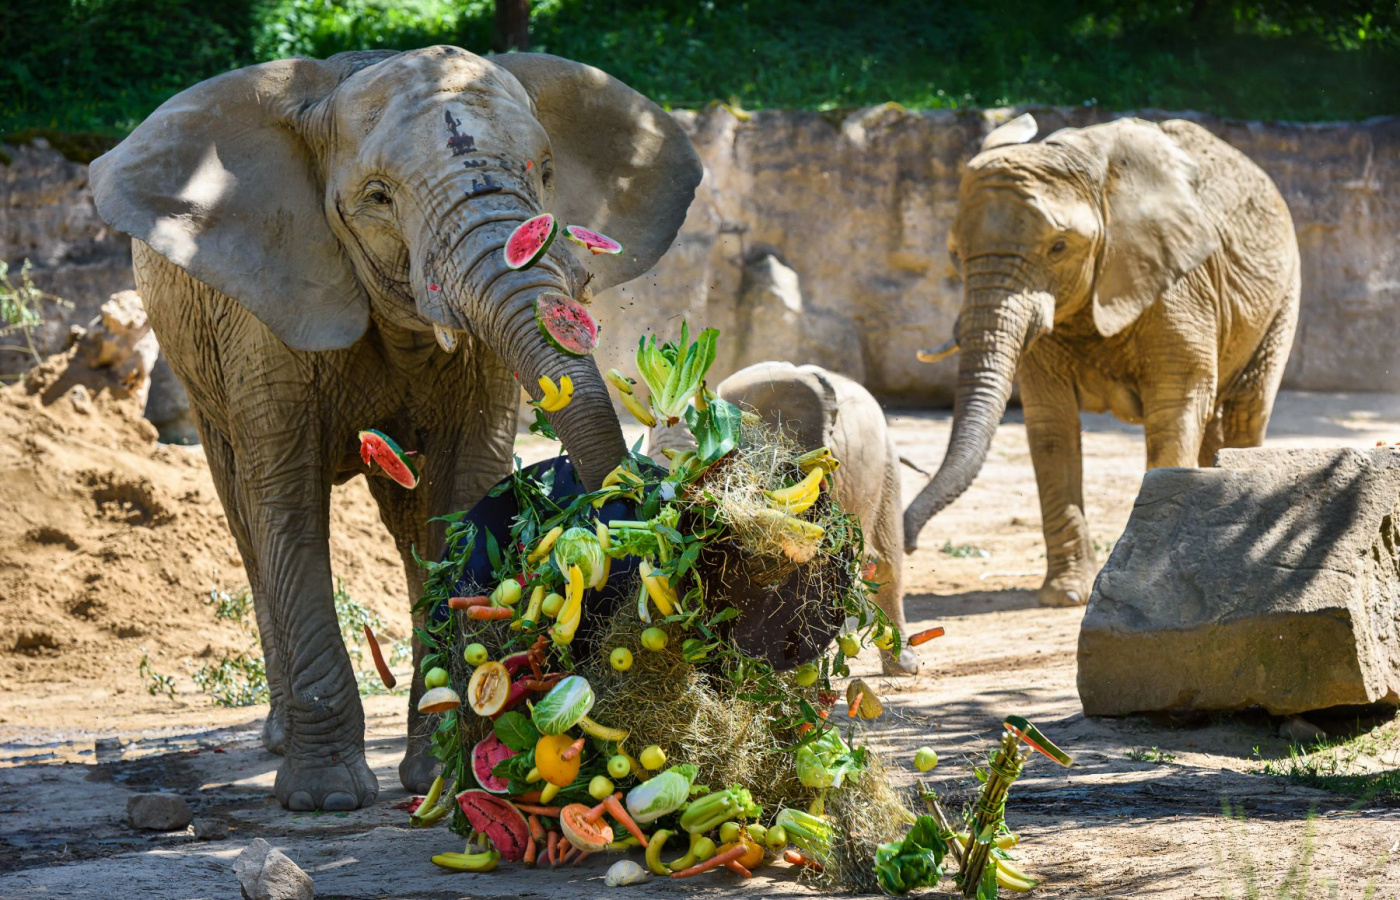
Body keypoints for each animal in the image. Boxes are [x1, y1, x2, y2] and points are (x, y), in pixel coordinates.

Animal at [87, 45, 700, 811]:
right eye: (378, 197)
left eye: (546, 172)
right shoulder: (263, 311)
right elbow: (286, 500)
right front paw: (324, 799)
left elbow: (463, 491)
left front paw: (442, 770)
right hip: (195, 363)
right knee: (246, 516)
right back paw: (281, 741)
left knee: (408, 523)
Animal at [901, 110, 1293, 604]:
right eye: (955, 253)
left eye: (1058, 248)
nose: (909, 544)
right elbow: (1051, 424)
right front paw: (1067, 595)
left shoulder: (1180, 282)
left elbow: (1175, 405)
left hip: (1281, 297)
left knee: (1247, 410)